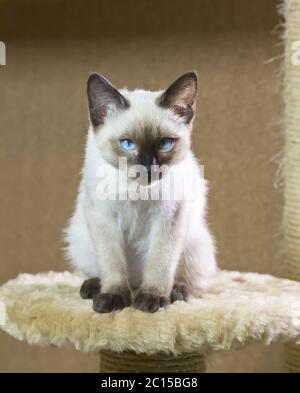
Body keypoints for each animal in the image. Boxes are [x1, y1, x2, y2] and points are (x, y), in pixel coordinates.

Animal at [64, 71, 217, 312]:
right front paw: (113, 298)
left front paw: (151, 300)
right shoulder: (103, 217)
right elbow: (112, 264)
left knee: (192, 281)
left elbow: (159, 264)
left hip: (195, 245)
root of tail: (135, 282)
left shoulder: (169, 217)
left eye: (165, 143)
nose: (149, 166)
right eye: (127, 144)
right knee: (101, 270)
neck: (137, 191)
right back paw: (93, 288)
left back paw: (178, 292)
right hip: (80, 239)